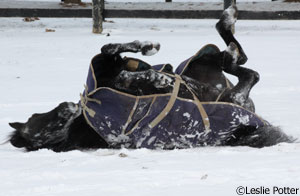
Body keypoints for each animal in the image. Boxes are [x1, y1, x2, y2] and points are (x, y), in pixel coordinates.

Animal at [7, 4, 292, 152]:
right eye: (51, 122)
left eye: (37, 116)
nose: (70, 107)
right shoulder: (115, 80)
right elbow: (126, 73)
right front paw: (158, 79)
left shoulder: (107, 66)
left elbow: (110, 49)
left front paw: (147, 47)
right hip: (230, 90)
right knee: (246, 71)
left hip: (202, 65)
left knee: (237, 59)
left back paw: (229, 19)